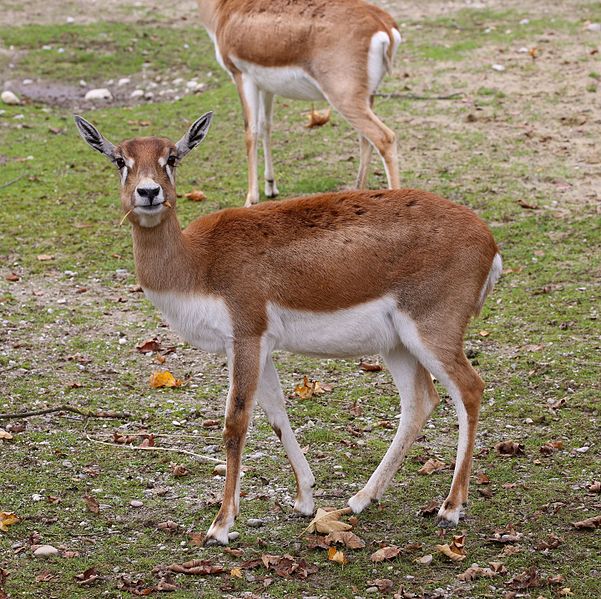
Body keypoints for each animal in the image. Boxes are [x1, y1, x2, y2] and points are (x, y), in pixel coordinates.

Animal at [72, 111, 500, 544]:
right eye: (119, 160)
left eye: (171, 157)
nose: (148, 192)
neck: (199, 263)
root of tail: (490, 241)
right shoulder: (258, 345)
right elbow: (277, 414)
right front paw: (304, 501)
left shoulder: (246, 334)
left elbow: (236, 423)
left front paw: (221, 524)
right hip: (396, 343)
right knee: (420, 401)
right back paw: (361, 499)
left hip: (432, 330)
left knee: (470, 388)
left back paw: (450, 508)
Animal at [197, 0, 400, 206]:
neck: (224, 9)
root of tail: (382, 24)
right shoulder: (266, 86)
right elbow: (265, 126)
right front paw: (270, 187)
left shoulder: (241, 76)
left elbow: (250, 132)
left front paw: (250, 200)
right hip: (367, 97)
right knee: (366, 140)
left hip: (345, 98)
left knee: (384, 138)